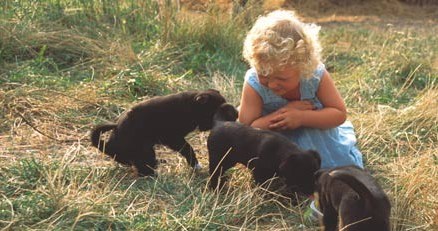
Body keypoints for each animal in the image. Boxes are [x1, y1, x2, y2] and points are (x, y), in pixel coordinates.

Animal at [91, 89, 229, 176]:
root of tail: (110, 146)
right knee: (144, 168)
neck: (190, 106)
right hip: (144, 150)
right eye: (215, 112)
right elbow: (188, 148)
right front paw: (195, 164)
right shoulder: (173, 138)